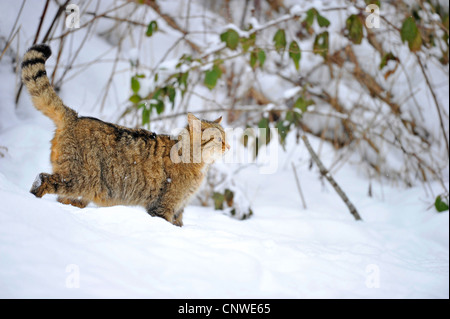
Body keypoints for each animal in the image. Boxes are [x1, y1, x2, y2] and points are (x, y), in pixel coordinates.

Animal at [22, 43, 229, 226]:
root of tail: (75, 117)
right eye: (218, 138)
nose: (228, 146)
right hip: (81, 179)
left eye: (226, 137)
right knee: (43, 179)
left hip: (79, 191)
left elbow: (179, 225)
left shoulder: (180, 208)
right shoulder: (165, 205)